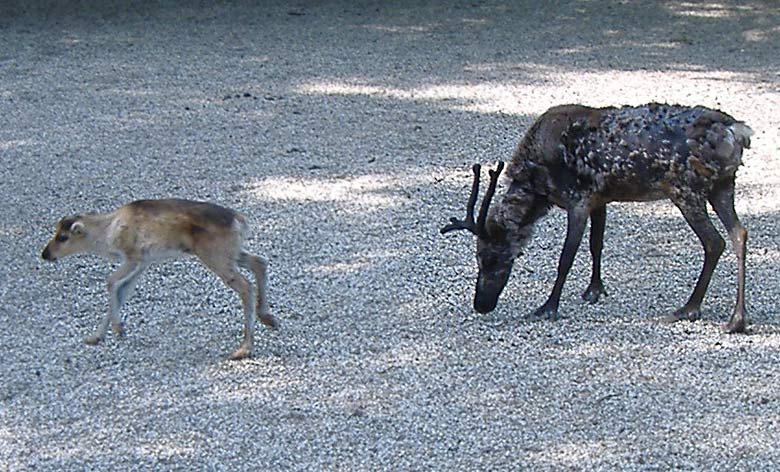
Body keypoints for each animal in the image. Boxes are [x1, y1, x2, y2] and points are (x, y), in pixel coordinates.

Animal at [41, 198, 278, 360]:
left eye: (63, 237)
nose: (45, 254)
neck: (108, 233)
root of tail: (240, 220)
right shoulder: (143, 263)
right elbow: (122, 291)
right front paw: (96, 336)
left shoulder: (133, 257)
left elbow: (110, 282)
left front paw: (118, 327)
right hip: (231, 252)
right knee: (260, 262)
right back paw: (268, 317)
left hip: (215, 255)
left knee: (246, 286)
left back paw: (244, 348)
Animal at [441, 103, 753, 333]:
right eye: (478, 257)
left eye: (492, 258)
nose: (481, 304)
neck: (539, 185)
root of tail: (738, 132)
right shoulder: (599, 199)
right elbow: (596, 244)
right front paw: (595, 290)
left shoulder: (577, 199)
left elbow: (566, 259)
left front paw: (548, 307)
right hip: (722, 185)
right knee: (739, 233)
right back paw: (737, 319)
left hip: (686, 189)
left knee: (714, 242)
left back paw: (690, 308)